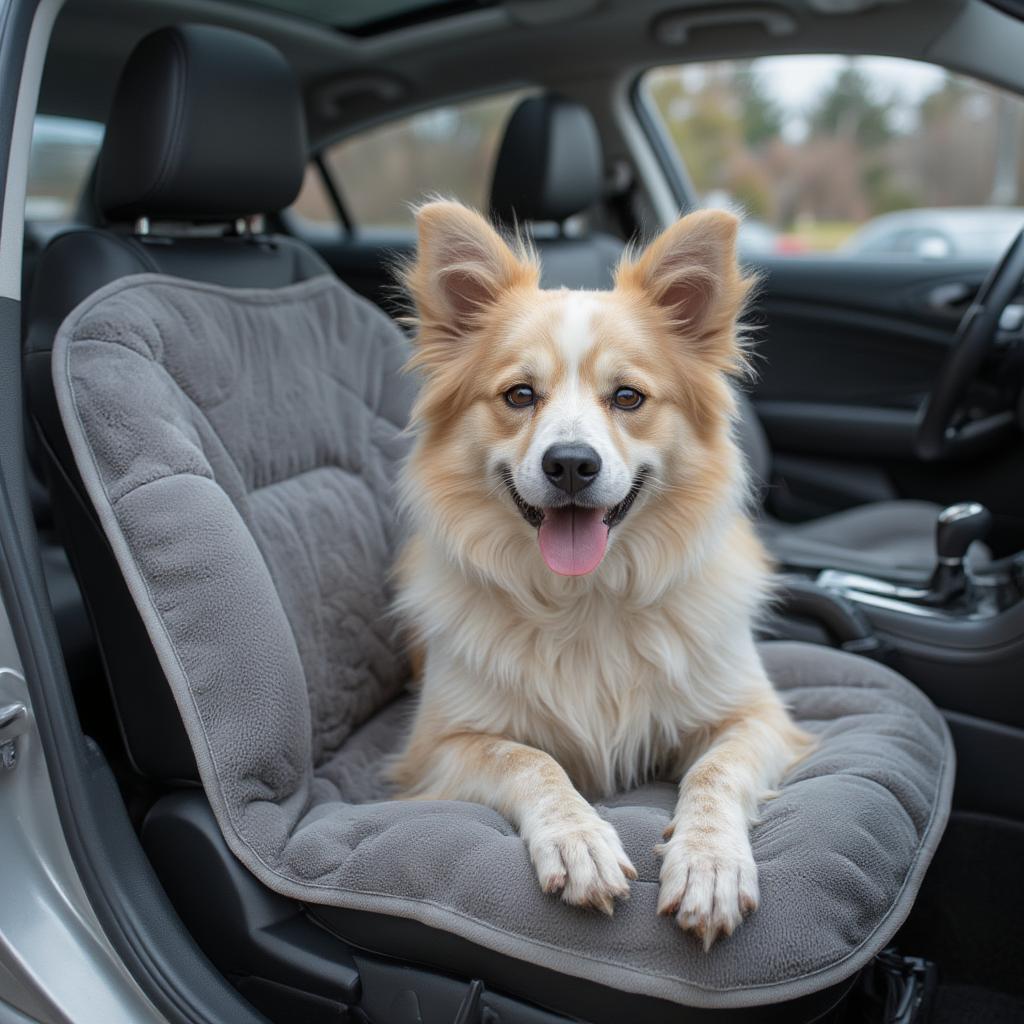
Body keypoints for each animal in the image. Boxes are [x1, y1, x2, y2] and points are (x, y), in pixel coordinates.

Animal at [387, 201, 811, 950]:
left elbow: (716, 771)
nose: (570, 465)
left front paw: (709, 862)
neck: (585, 596)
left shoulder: (756, 717)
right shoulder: (438, 747)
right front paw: (578, 839)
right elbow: (531, 761)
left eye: (629, 398)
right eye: (520, 395)